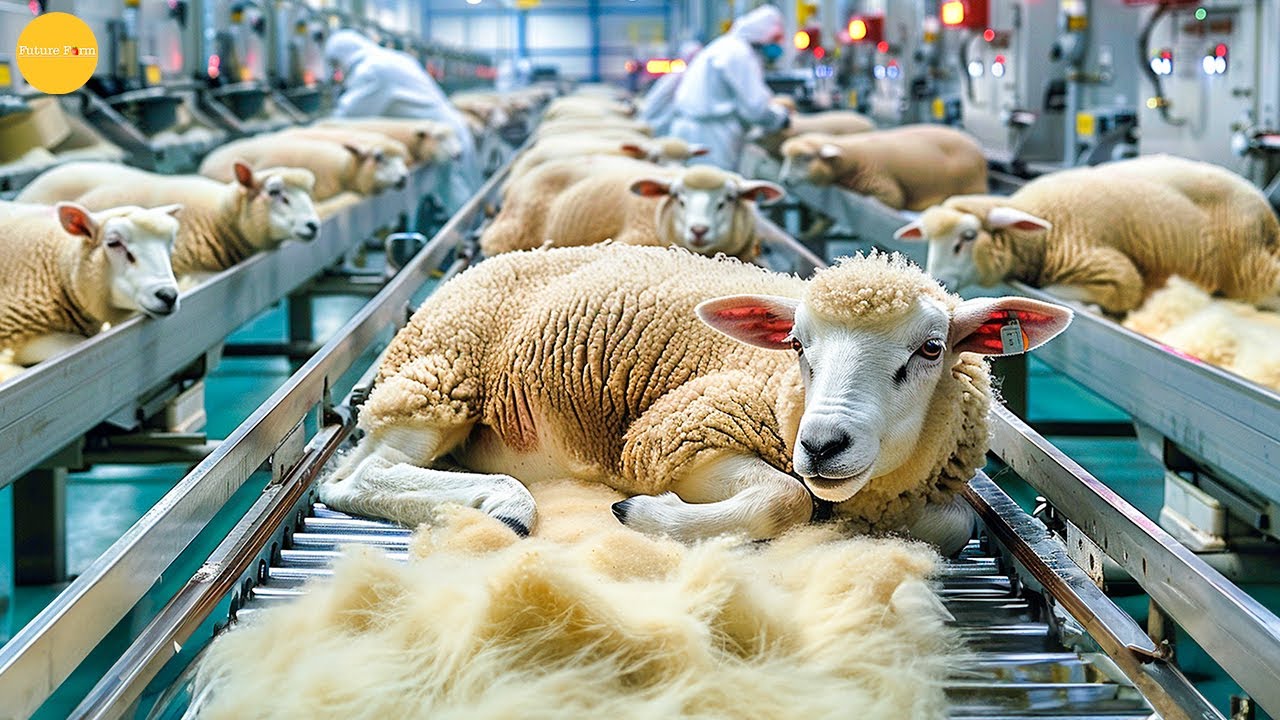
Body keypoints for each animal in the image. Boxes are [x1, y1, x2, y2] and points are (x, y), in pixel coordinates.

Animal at [318, 245, 1072, 554]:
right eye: (796, 344)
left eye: (931, 349)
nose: (821, 444)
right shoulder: (681, 430)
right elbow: (784, 498)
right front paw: (644, 513)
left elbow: (957, 524)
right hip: (442, 377)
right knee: (354, 476)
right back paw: (502, 502)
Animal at [778, 126, 988, 211]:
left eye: (805, 158)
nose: (784, 180)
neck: (852, 156)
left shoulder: (885, 186)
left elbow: (892, 200)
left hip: (970, 186)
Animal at [894, 155, 1280, 314]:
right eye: (929, 240)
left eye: (969, 236)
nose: (936, 282)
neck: (1044, 228)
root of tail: (1263, 205)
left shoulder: (1112, 270)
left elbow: (1063, 291)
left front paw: (1087, 305)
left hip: (1247, 262)